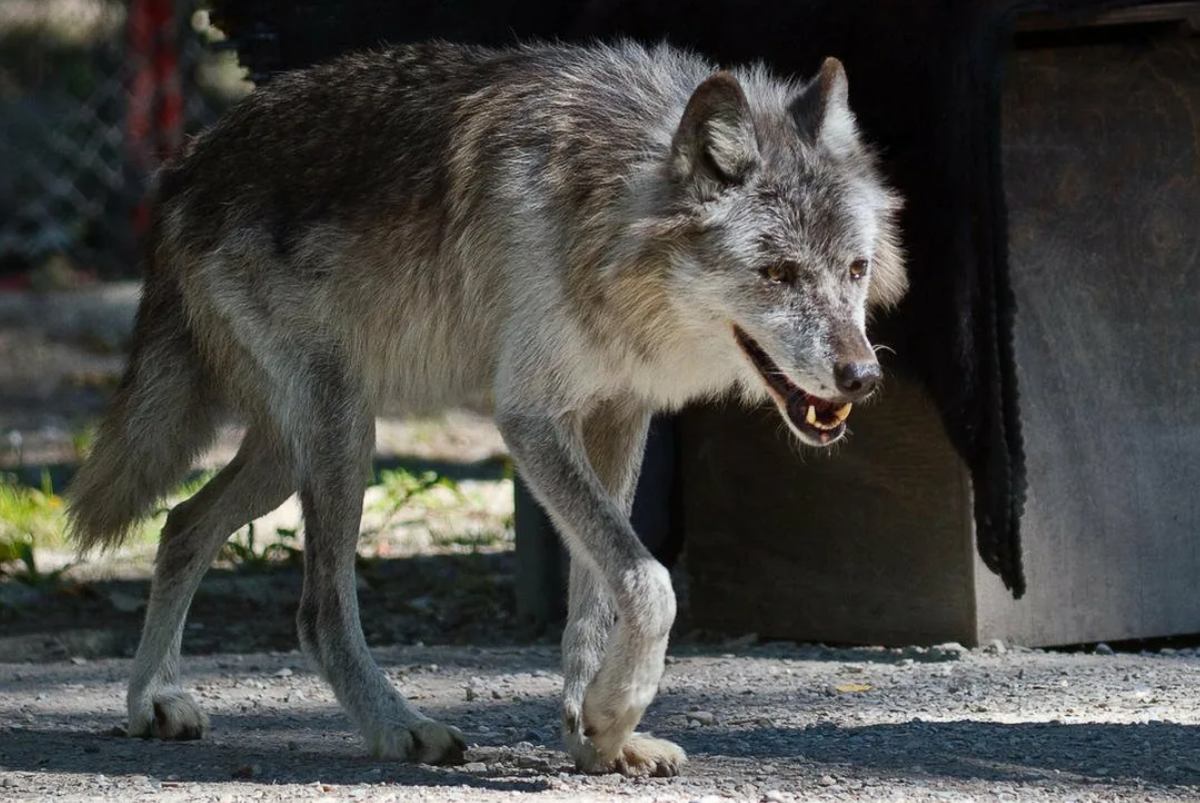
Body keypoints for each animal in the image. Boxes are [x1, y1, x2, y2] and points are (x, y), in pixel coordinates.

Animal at [65, 39, 902, 777]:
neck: (607, 203)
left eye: (855, 269)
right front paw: (613, 709)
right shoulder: (530, 419)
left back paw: (152, 701)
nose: (862, 375)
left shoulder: (618, 413)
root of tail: (185, 165)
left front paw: (597, 732)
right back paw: (398, 727)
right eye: (778, 273)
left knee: (181, 524)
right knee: (316, 608)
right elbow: (649, 582)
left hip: (290, 452)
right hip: (343, 433)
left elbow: (597, 596)